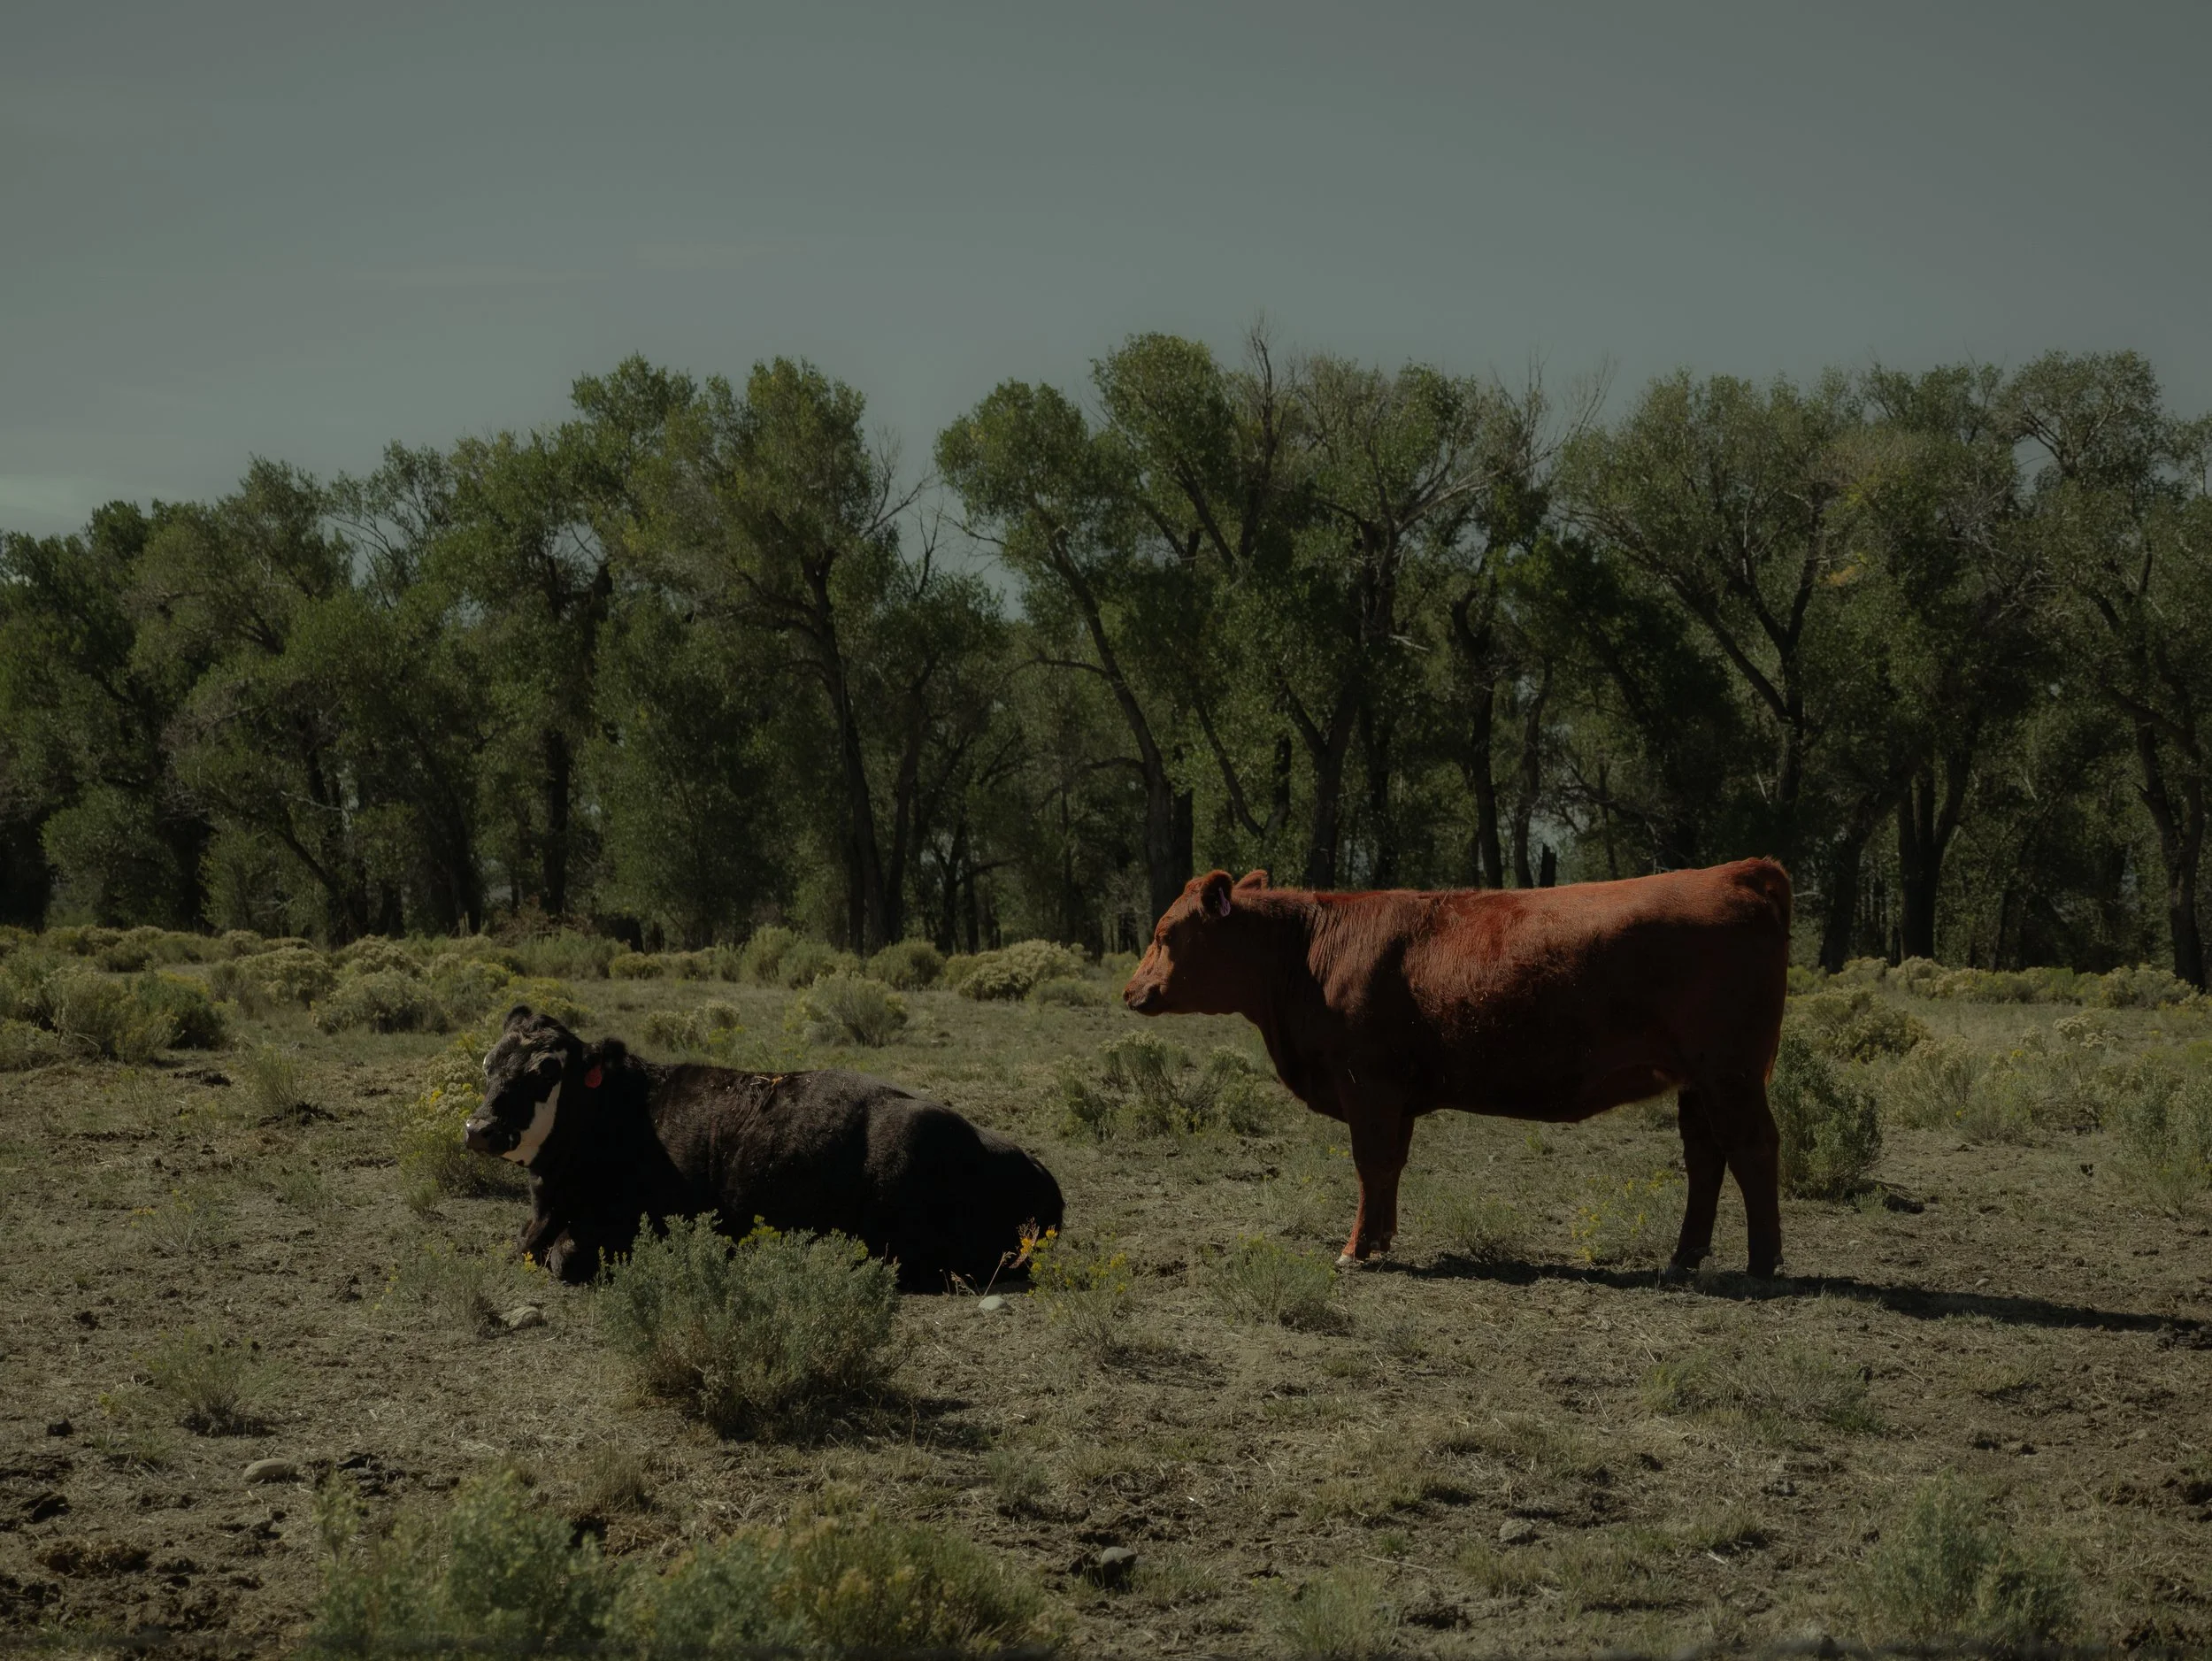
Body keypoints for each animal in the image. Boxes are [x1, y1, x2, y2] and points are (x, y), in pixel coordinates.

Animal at [1121, 861, 1793, 1278]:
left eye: (1164, 932)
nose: (1130, 991)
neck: (1310, 950)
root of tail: (1740, 871)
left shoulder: (1367, 1085)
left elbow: (1370, 1164)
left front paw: (1354, 1250)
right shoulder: (1396, 1098)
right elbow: (1390, 1169)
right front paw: (1380, 1242)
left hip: (1729, 1075)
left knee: (1753, 1149)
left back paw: (1763, 1264)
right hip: (1698, 1083)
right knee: (1706, 1159)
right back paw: (1686, 1257)